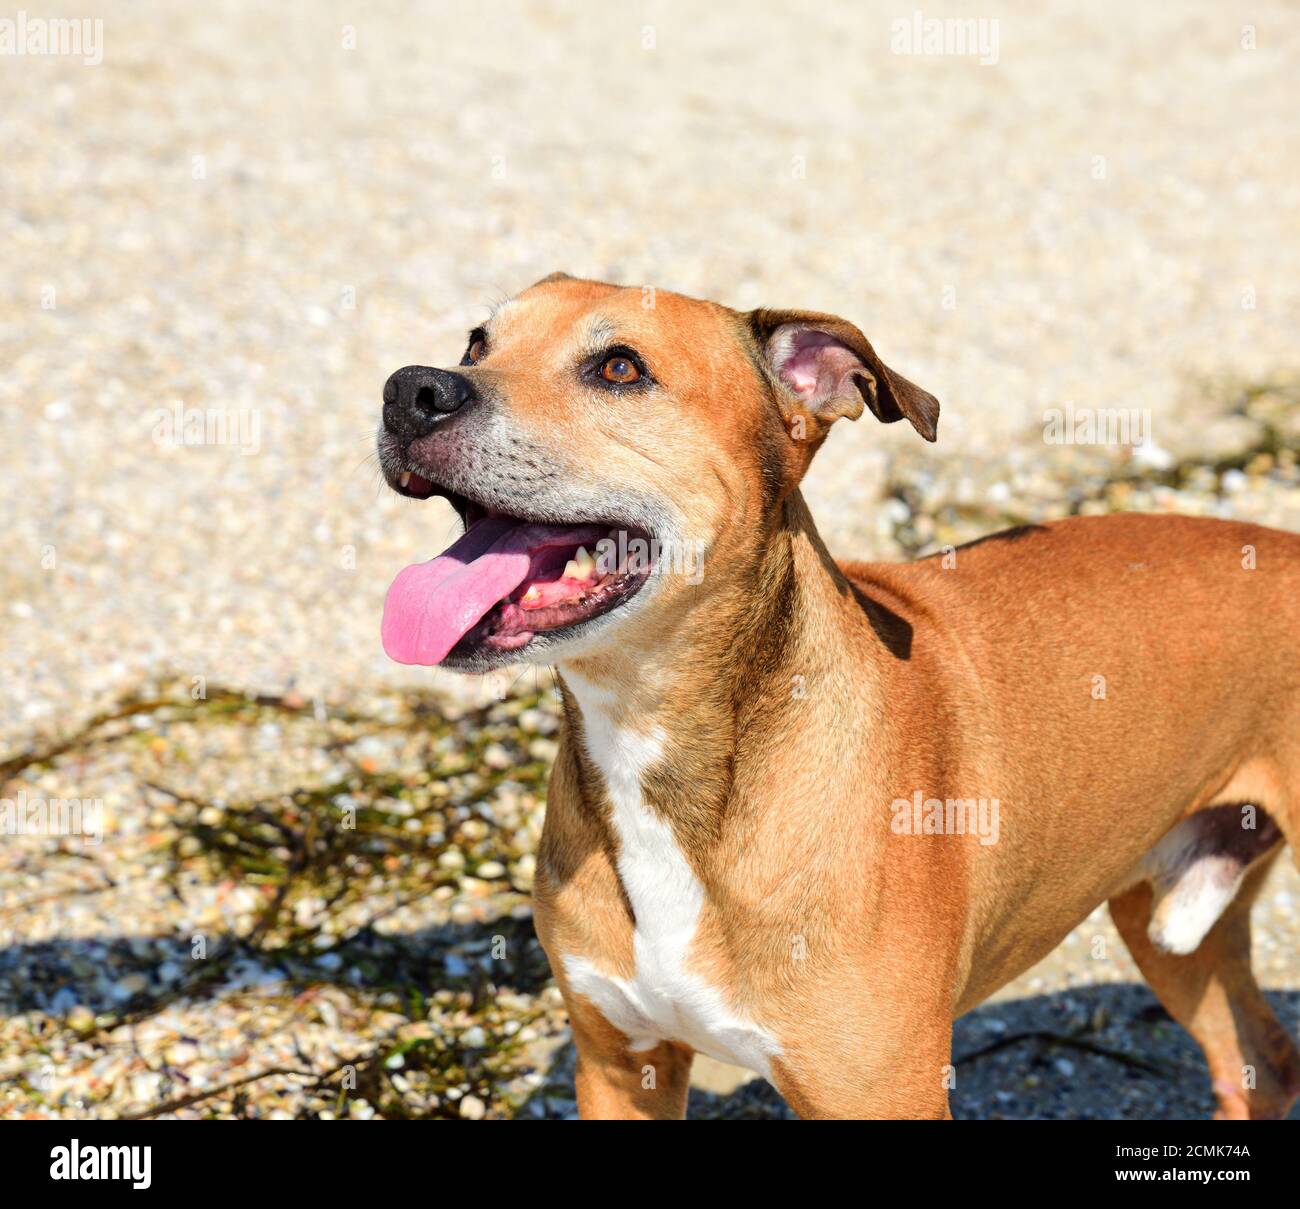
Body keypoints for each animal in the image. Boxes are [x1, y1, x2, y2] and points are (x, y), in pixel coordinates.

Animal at [377, 275, 1300, 1123]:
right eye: (475, 343)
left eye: (619, 368)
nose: (410, 390)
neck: (659, 748)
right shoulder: (620, 1066)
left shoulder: (881, 1094)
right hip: (1166, 921)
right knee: (1256, 1060)